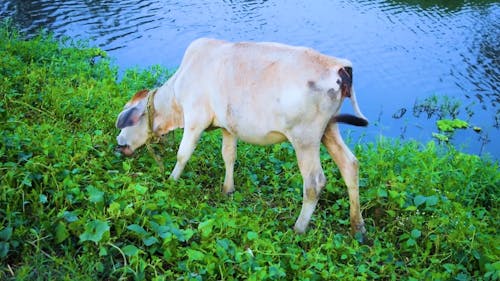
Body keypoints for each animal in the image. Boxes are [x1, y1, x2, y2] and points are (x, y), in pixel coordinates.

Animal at [116, 37, 368, 234]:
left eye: (126, 120)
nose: (118, 145)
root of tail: (338, 66)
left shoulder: (195, 120)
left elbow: (183, 154)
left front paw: (171, 181)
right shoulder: (228, 127)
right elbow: (229, 156)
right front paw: (227, 190)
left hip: (305, 138)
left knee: (314, 182)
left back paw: (299, 228)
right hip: (328, 130)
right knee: (350, 166)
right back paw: (358, 228)